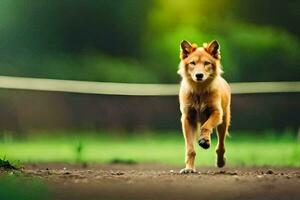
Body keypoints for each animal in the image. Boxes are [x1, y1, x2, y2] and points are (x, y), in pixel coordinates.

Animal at [178, 39, 232, 173]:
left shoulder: (217, 113)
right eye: (192, 63)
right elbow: (190, 149)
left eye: (207, 63)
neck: (199, 91)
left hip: (223, 122)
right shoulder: (187, 118)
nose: (199, 75)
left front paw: (204, 140)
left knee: (221, 146)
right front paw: (189, 168)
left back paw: (220, 161)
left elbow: (206, 126)